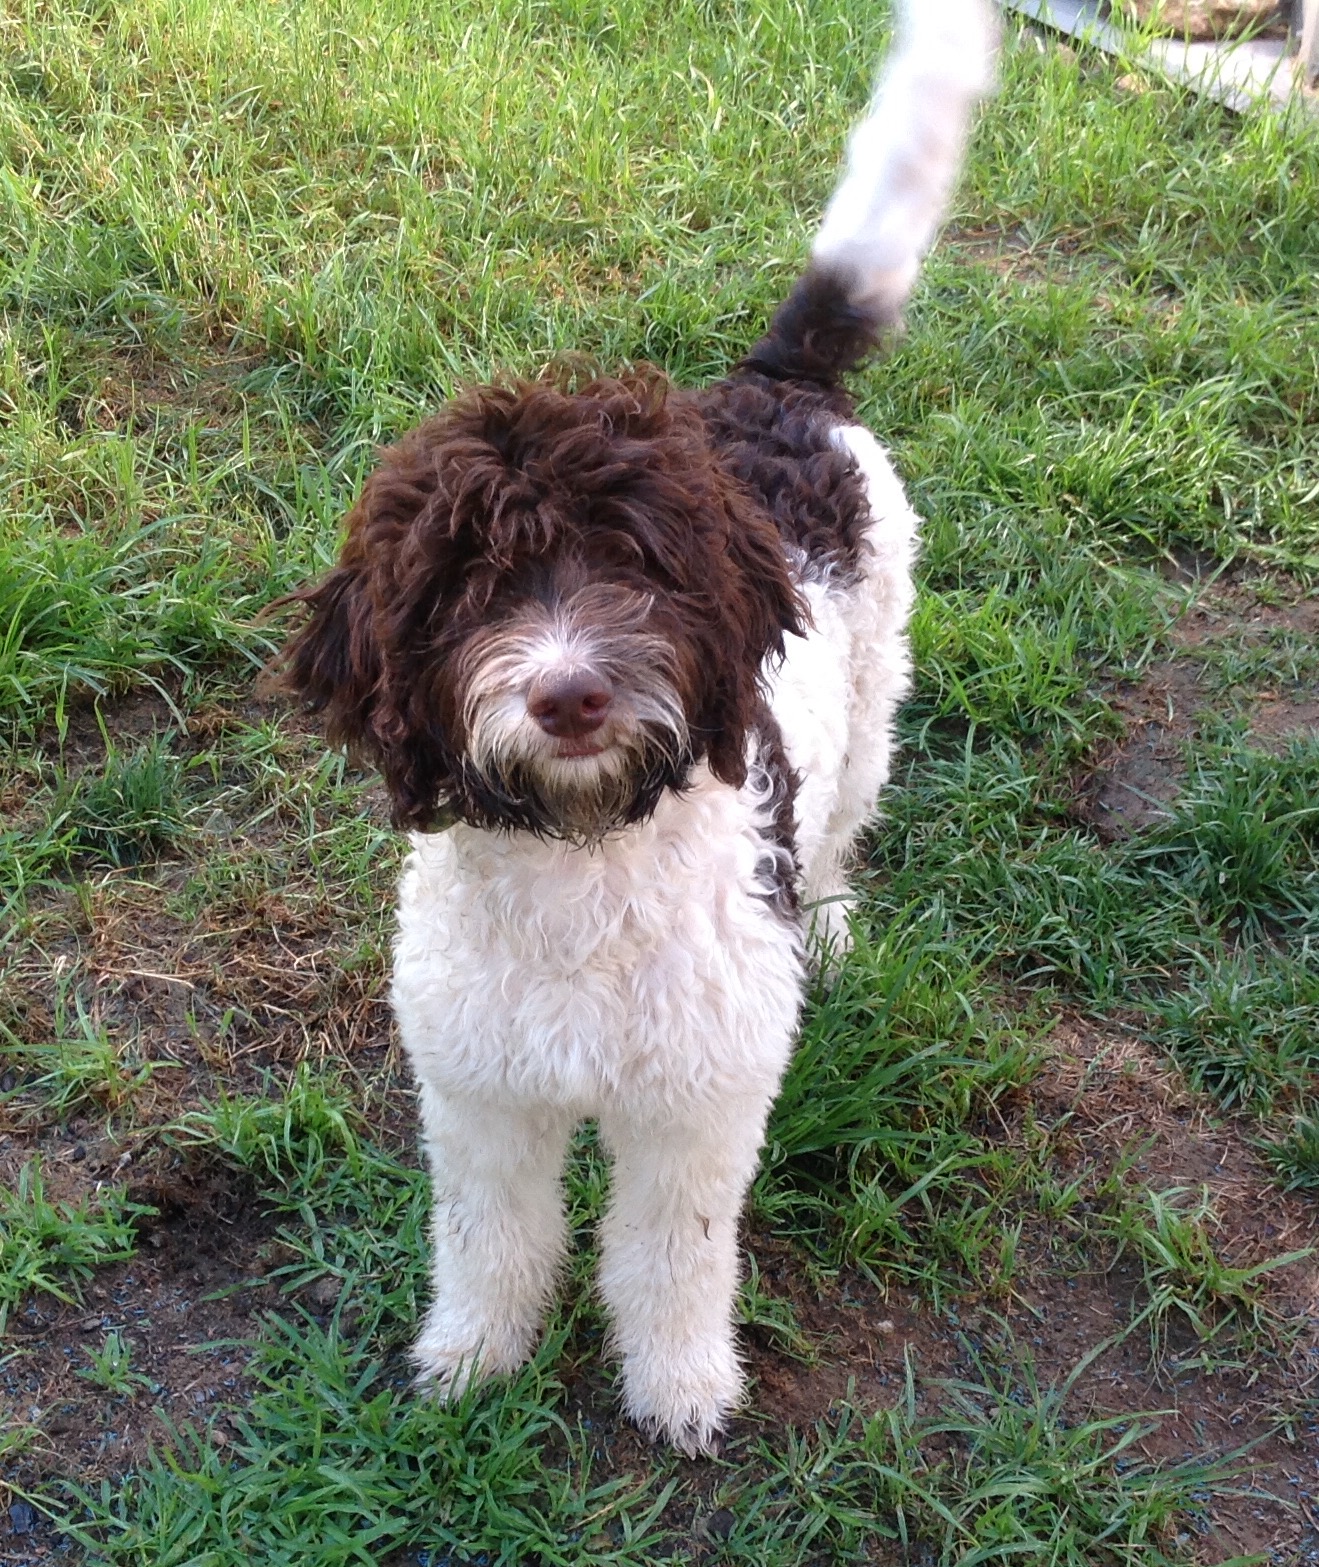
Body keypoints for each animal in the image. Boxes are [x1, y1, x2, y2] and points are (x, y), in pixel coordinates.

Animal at [280, 0, 996, 1454]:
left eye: (636, 570)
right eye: (466, 589)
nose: (568, 695)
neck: (580, 853)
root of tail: (776, 388)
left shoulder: (696, 1104)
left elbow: (671, 1251)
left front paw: (677, 1388)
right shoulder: (480, 1093)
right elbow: (490, 1235)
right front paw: (471, 1359)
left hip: (875, 690)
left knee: (843, 820)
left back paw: (829, 920)